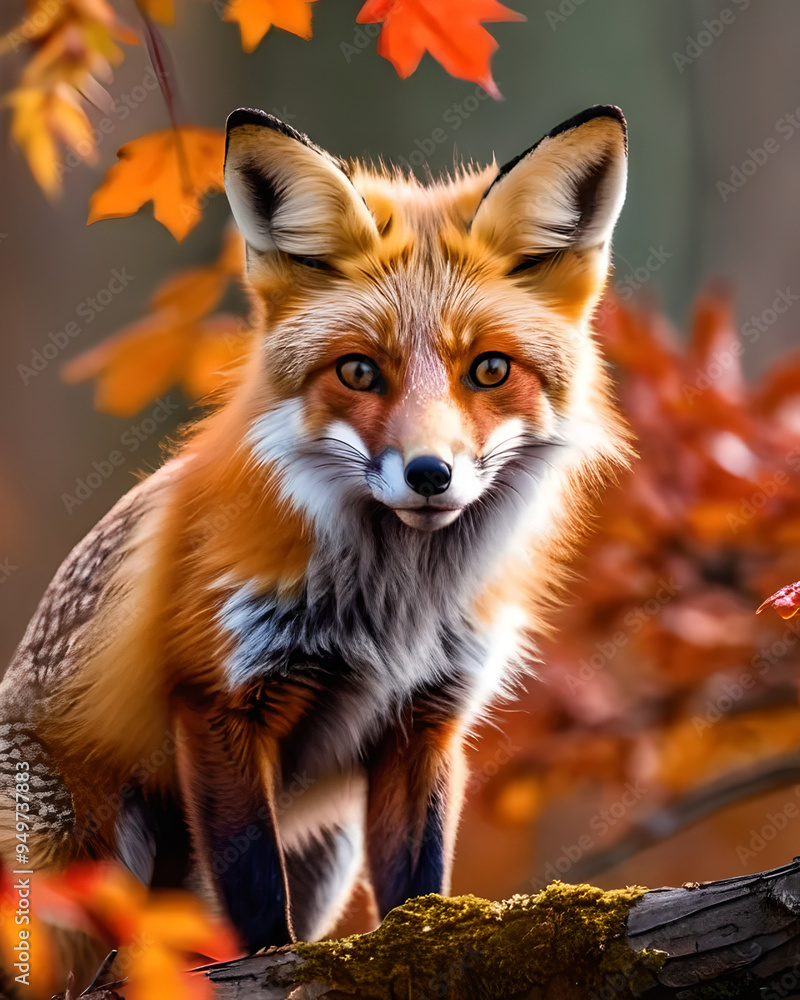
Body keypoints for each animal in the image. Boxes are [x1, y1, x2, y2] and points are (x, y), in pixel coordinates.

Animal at [0, 104, 630, 984]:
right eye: (360, 372)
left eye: (490, 370)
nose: (430, 474)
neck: (394, 607)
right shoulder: (218, 697)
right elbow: (255, 895)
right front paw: (274, 962)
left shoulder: (426, 719)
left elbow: (416, 886)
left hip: (322, 860)